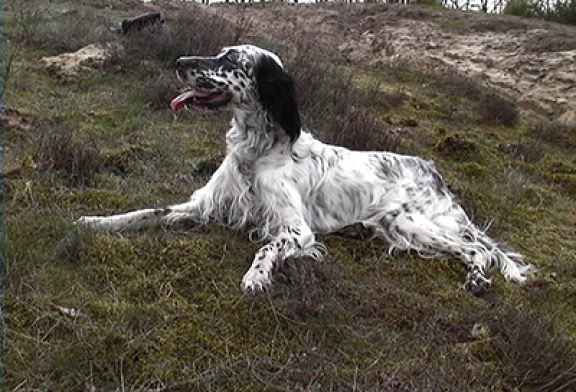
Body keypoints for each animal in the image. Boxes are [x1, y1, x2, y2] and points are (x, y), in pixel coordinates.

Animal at [76, 44, 536, 294]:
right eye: (220, 53)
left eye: (231, 60)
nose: (178, 60)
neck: (256, 151)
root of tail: (432, 171)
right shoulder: (207, 204)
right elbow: (145, 211)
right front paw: (95, 221)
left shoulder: (296, 229)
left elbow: (266, 247)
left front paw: (256, 277)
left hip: (408, 222)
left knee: (477, 249)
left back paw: (477, 281)